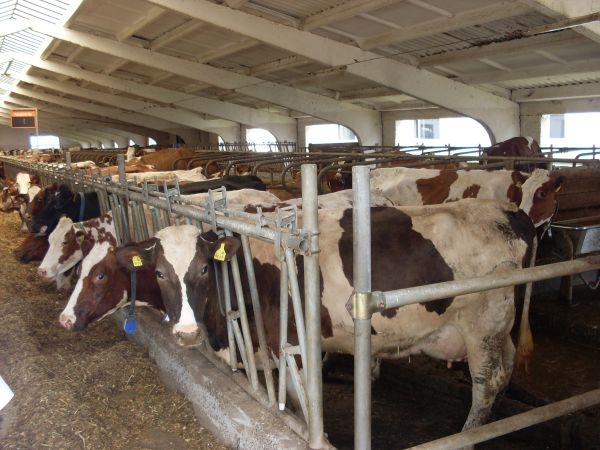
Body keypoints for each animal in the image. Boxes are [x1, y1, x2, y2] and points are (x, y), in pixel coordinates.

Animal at [116, 198, 536, 432]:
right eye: (159, 273)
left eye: (204, 269)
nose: (186, 332)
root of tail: (507, 211)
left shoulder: (295, 346)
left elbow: (303, 402)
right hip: (501, 328)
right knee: (506, 369)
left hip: (484, 325)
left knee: (487, 382)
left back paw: (469, 432)